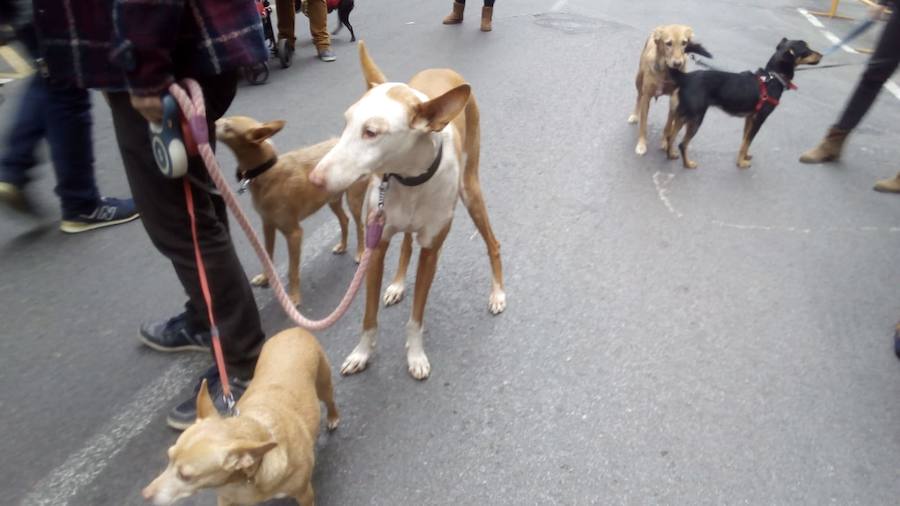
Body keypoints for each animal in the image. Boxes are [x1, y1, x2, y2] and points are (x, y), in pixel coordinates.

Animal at [142, 326, 340, 504]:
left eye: (186, 476)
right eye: (169, 457)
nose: (145, 495)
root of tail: (293, 329)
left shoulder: (304, 494)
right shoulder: (226, 499)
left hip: (324, 384)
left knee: (330, 401)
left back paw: (332, 418)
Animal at [216, 117, 368, 306]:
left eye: (227, 127)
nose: (211, 122)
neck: (267, 171)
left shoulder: (294, 234)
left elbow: (292, 270)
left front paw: (294, 297)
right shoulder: (268, 226)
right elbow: (267, 256)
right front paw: (265, 278)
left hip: (354, 200)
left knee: (360, 226)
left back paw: (360, 253)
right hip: (333, 201)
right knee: (344, 220)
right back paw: (342, 246)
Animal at [310, 42, 506, 380]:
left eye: (371, 132)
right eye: (346, 123)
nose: (315, 179)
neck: (409, 179)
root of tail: (444, 69)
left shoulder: (431, 251)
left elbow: (416, 317)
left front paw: (415, 355)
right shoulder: (376, 245)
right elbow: (368, 317)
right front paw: (362, 354)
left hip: (471, 191)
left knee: (492, 243)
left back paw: (497, 293)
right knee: (404, 244)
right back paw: (398, 284)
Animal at [624, 23, 712, 156]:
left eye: (684, 43)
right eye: (668, 43)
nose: (678, 63)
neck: (666, 71)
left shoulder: (674, 99)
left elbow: (668, 125)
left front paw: (665, 142)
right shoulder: (646, 97)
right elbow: (643, 125)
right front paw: (641, 144)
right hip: (638, 80)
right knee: (638, 97)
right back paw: (634, 115)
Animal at [660, 39, 824, 170]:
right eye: (806, 50)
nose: (822, 55)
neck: (772, 77)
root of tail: (686, 78)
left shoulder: (749, 118)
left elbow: (745, 141)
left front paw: (743, 157)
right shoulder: (759, 119)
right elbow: (748, 141)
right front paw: (741, 163)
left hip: (682, 115)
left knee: (671, 137)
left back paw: (670, 155)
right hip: (695, 118)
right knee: (683, 144)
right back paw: (688, 164)